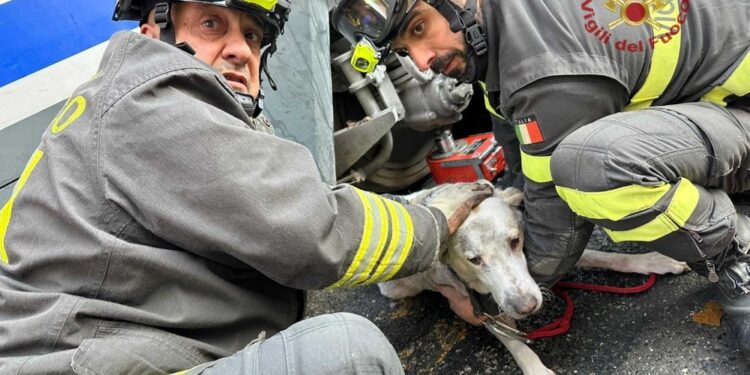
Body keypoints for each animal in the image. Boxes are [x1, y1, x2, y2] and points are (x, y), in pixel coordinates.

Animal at [378, 189, 692, 374]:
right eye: (474, 259)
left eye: (515, 240)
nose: (526, 306)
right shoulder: (481, 308)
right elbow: (518, 345)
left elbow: (606, 256)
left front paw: (654, 260)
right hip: (397, 286)